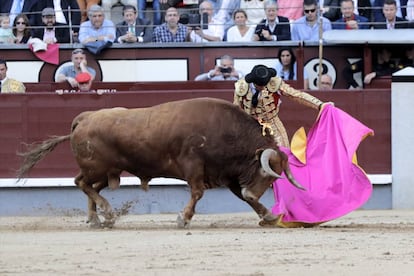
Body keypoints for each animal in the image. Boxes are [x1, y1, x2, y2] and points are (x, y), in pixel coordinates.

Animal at [17, 98, 302, 227]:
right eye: (266, 173)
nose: (254, 191)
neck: (227, 132)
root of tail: (85, 118)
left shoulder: (227, 173)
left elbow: (242, 198)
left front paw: (268, 216)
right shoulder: (194, 165)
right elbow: (197, 193)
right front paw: (182, 219)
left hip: (108, 171)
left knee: (91, 189)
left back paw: (97, 219)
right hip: (95, 167)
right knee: (81, 183)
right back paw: (107, 213)